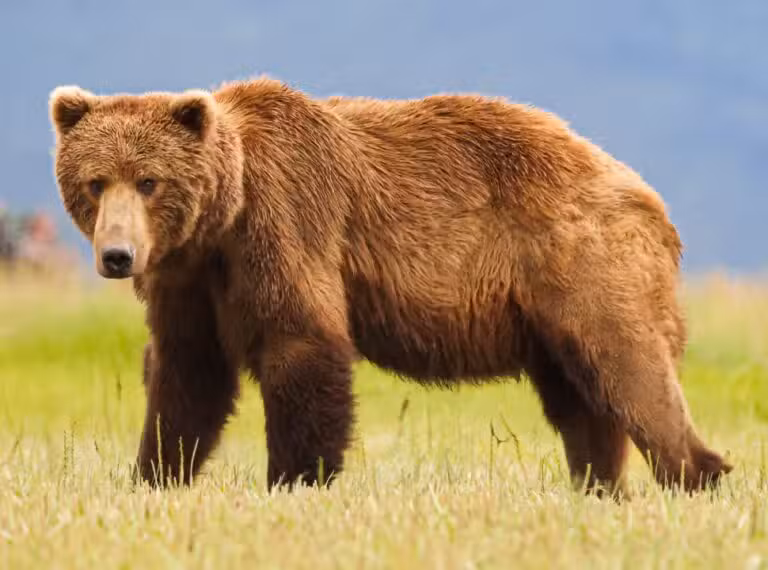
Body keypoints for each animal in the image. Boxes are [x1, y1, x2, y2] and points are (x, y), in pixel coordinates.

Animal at [48, 76, 732, 497]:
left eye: (149, 181)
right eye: (94, 181)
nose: (117, 255)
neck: (222, 219)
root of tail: (648, 196)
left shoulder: (285, 229)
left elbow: (302, 344)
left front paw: (296, 479)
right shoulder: (189, 280)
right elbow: (187, 376)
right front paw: (153, 475)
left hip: (584, 262)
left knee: (629, 369)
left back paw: (698, 474)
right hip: (547, 315)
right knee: (583, 402)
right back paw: (599, 485)